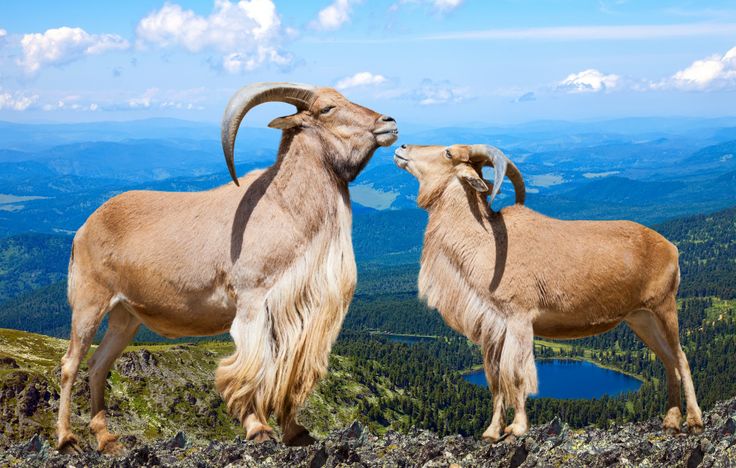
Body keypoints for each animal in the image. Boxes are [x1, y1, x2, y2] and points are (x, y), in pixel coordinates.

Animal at [55, 83, 400, 454]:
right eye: (326, 109)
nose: (389, 122)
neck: (284, 208)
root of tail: (83, 229)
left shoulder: (299, 314)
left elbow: (288, 372)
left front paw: (296, 432)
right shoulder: (253, 302)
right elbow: (253, 366)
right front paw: (258, 429)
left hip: (125, 316)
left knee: (98, 364)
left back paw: (106, 438)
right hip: (89, 303)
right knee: (71, 363)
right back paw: (67, 439)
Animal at [394, 144, 704, 440]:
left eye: (448, 152)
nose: (402, 148)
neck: (488, 242)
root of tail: (671, 248)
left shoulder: (519, 318)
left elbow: (517, 373)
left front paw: (517, 428)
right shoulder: (494, 327)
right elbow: (495, 379)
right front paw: (491, 432)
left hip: (665, 307)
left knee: (681, 358)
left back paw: (694, 420)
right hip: (640, 318)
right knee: (668, 360)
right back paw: (670, 420)